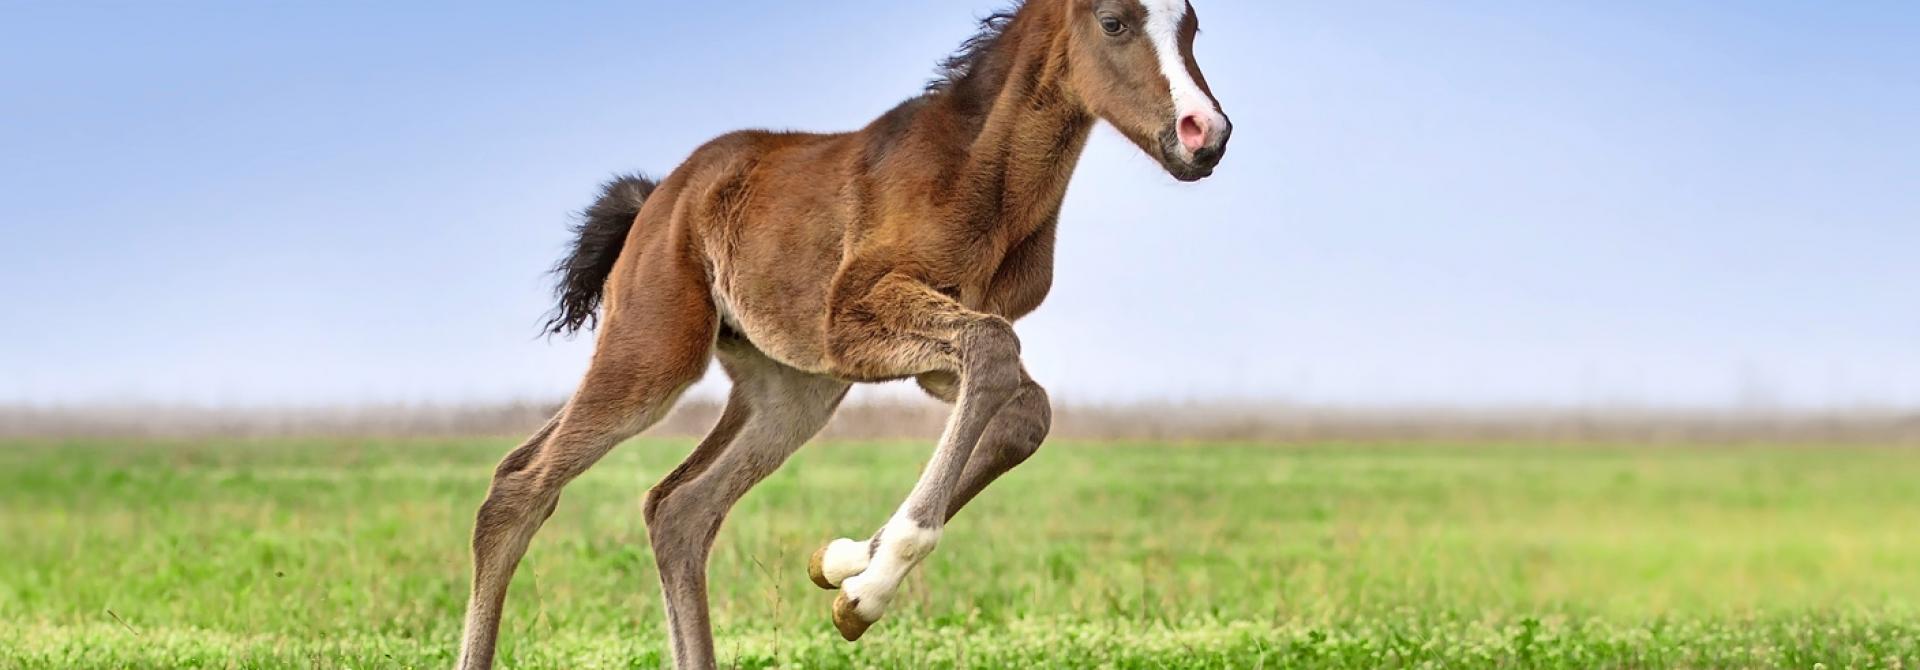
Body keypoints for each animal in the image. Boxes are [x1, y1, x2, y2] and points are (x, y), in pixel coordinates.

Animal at [454, 0, 1232, 667]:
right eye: (1115, 22)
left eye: (1193, 25)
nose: (1206, 133)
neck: (980, 178)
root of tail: (659, 197)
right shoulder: (854, 319)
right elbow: (995, 357)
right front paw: (866, 589)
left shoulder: (929, 360)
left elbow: (1023, 408)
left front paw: (844, 564)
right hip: (655, 349)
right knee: (520, 485)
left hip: (791, 391)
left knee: (679, 510)